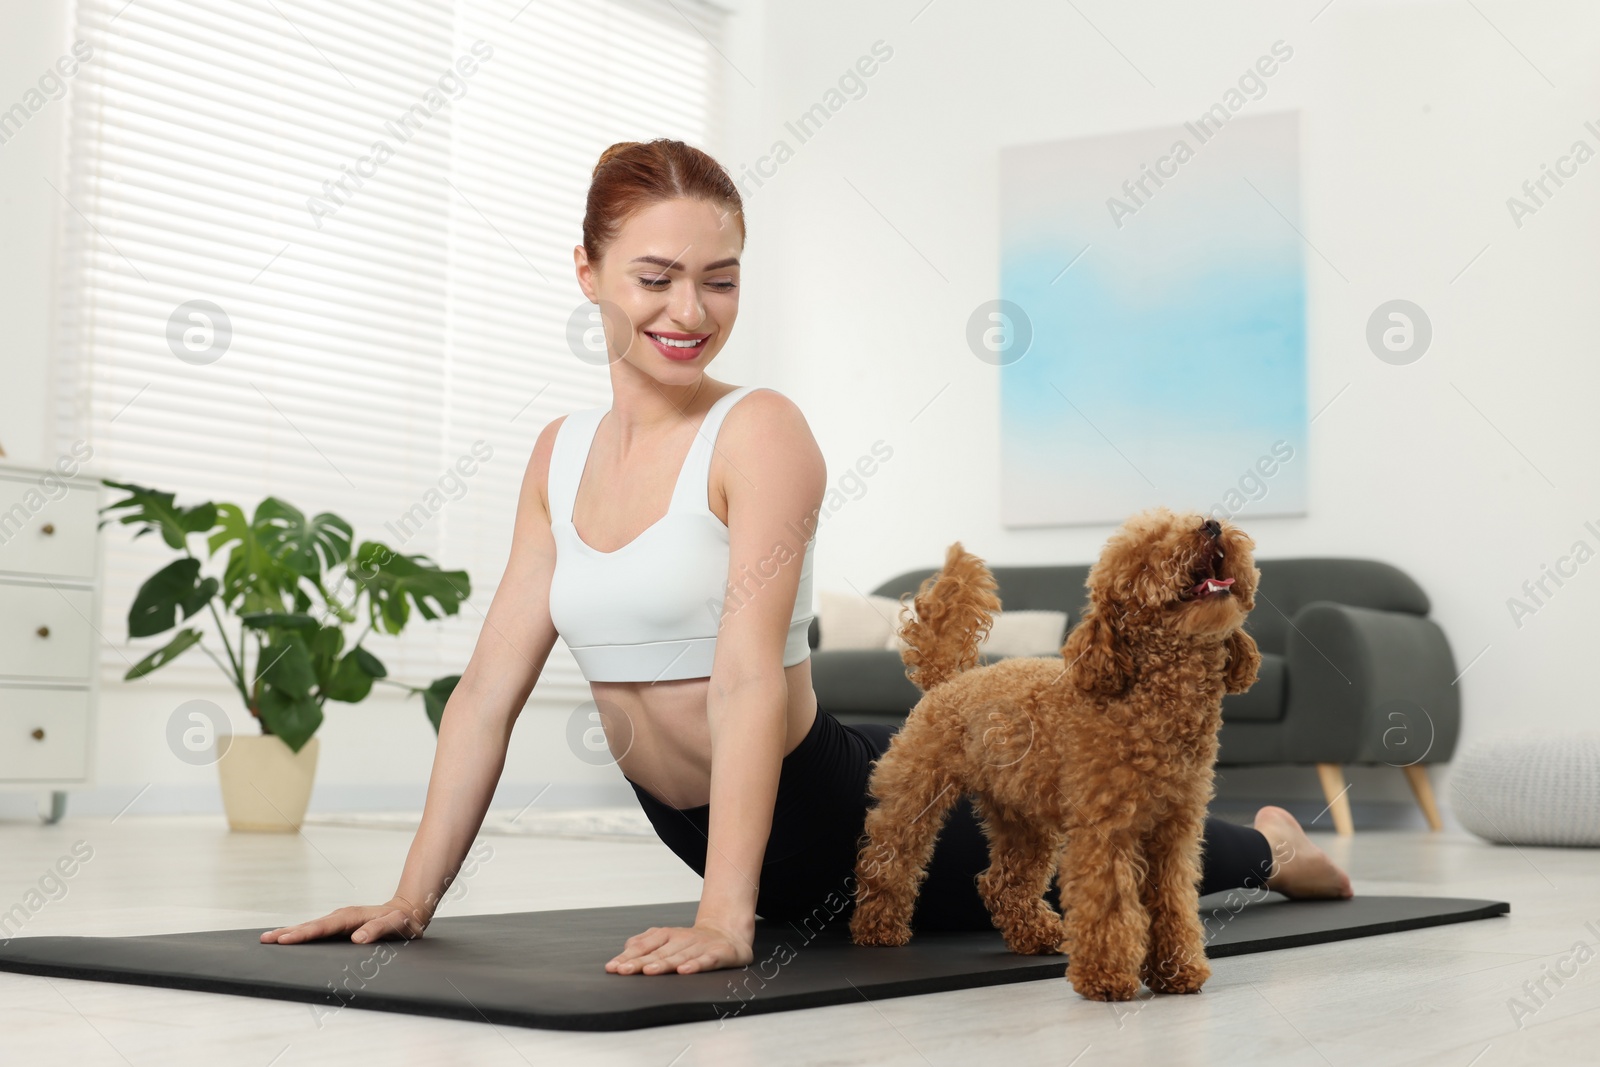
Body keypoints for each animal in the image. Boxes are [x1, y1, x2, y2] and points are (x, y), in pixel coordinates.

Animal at [851, 508, 1260, 1004]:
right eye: (1148, 554)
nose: (1211, 526)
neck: (1148, 699)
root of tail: (949, 679)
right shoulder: (1105, 831)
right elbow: (1108, 904)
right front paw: (1105, 978)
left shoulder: (1174, 832)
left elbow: (1174, 903)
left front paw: (1177, 970)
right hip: (916, 793)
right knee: (887, 860)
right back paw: (877, 929)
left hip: (1020, 815)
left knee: (1002, 882)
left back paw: (1037, 933)